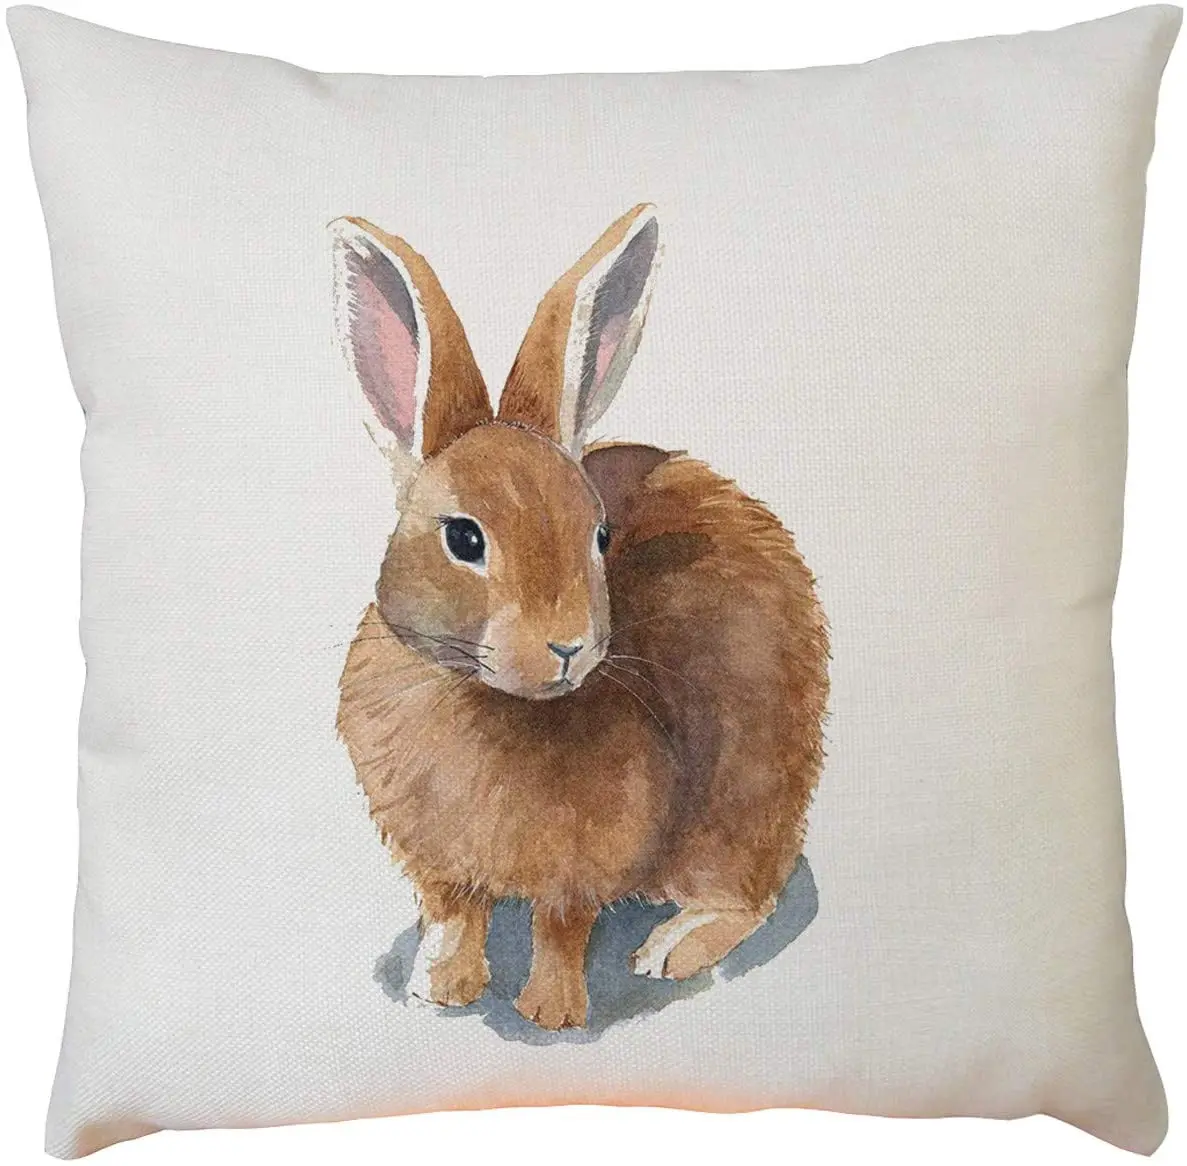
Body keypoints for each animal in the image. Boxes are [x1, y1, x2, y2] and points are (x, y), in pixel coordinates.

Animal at [333, 205, 829, 1031]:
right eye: (463, 538)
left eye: (598, 535)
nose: (566, 646)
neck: (481, 696)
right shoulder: (434, 862)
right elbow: (455, 915)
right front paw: (439, 988)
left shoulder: (588, 857)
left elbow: (560, 925)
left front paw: (551, 1012)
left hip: (742, 801)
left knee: (747, 895)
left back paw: (671, 947)